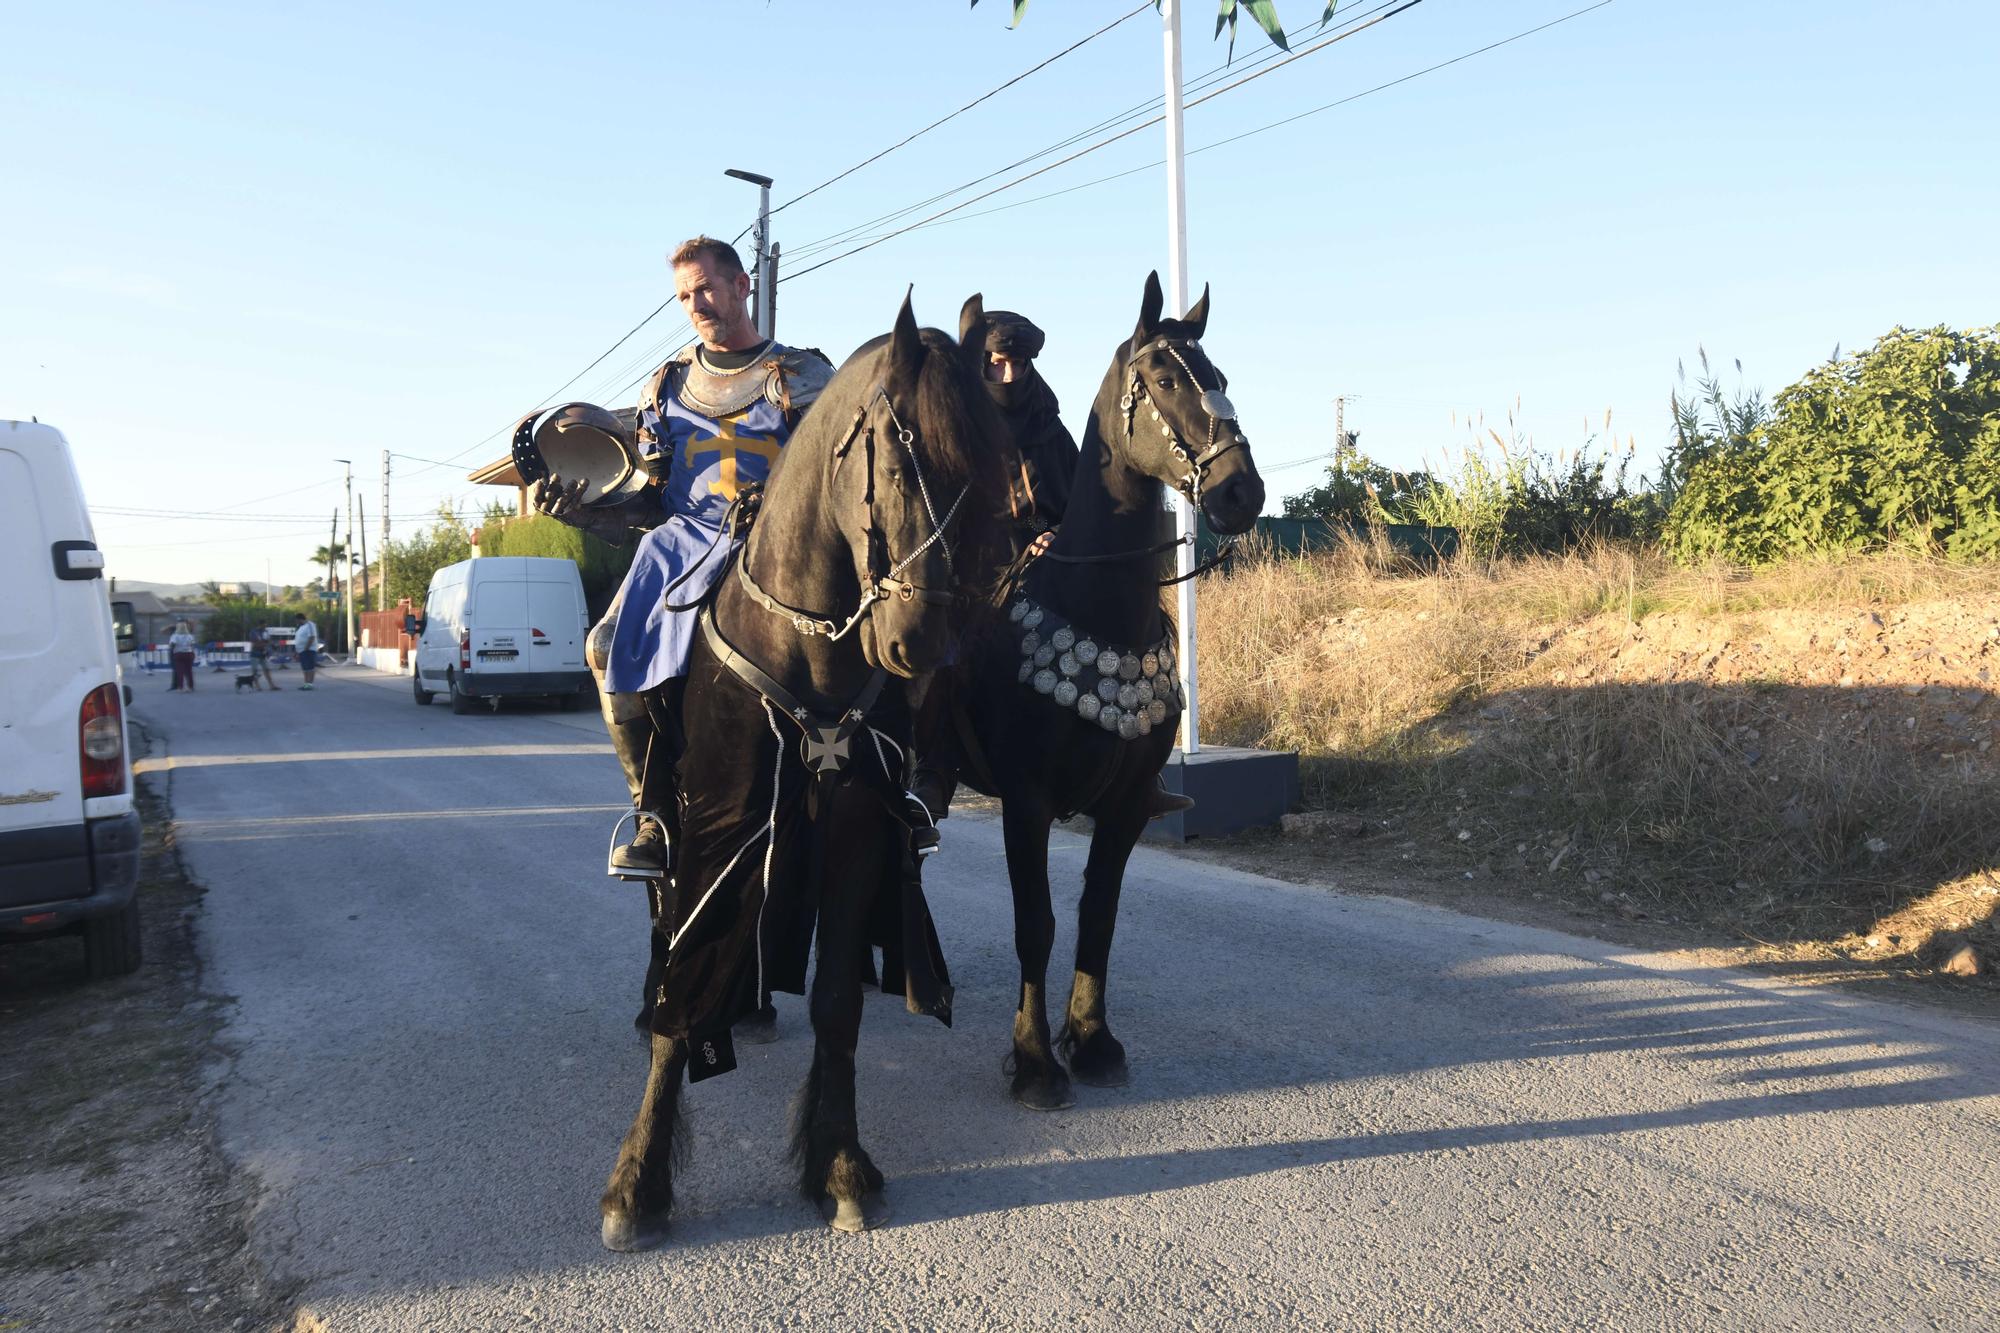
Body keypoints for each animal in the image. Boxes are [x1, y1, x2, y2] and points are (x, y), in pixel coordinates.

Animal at [596, 294, 1024, 1248]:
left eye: (981, 480)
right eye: (898, 465)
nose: (920, 644)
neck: (808, 642)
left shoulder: (857, 832)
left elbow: (836, 1001)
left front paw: (838, 1163)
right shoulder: (722, 829)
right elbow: (684, 990)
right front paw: (637, 1181)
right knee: (660, 920)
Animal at [940, 270, 1256, 1096]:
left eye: (1220, 375)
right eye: (1166, 380)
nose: (1241, 493)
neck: (1097, 607)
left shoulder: (1126, 807)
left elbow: (1098, 916)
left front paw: (1090, 1038)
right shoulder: (1025, 802)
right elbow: (1037, 922)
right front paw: (1033, 1059)